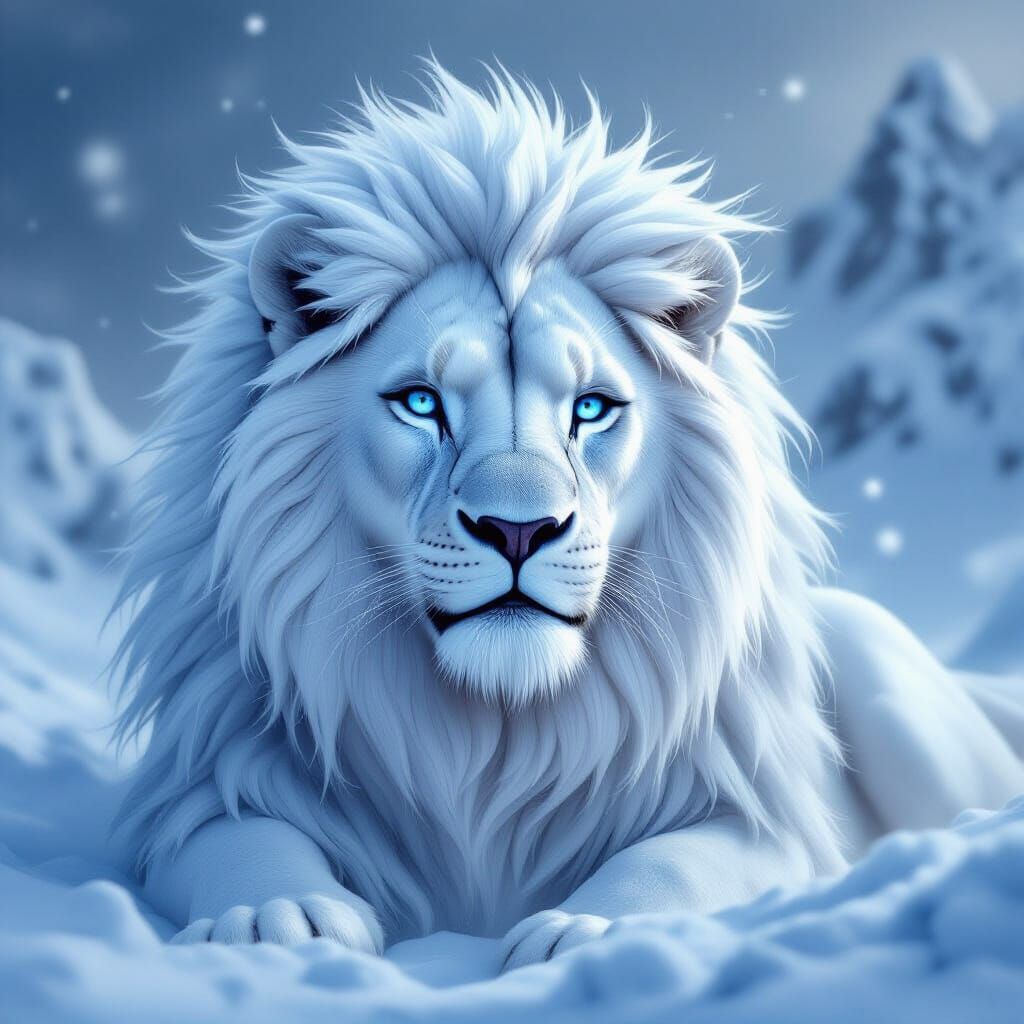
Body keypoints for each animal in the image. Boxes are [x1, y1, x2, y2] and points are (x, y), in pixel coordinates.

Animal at [114, 64, 1024, 968]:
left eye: (591, 408)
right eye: (421, 403)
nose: (518, 530)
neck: (494, 729)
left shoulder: (768, 818)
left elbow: (676, 858)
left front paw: (590, 932)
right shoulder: (210, 777)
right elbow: (242, 837)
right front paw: (278, 919)